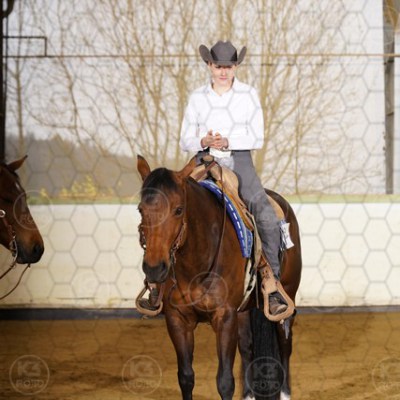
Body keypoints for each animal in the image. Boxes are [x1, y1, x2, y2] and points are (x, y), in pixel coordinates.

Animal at [136, 155, 302, 400]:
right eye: (141, 209)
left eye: (178, 209)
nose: (154, 269)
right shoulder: (177, 319)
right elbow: (185, 377)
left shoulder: (224, 317)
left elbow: (224, 381)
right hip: (242, 311)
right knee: (247, 347)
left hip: (287, 297)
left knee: (285, 344)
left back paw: (284, 393)